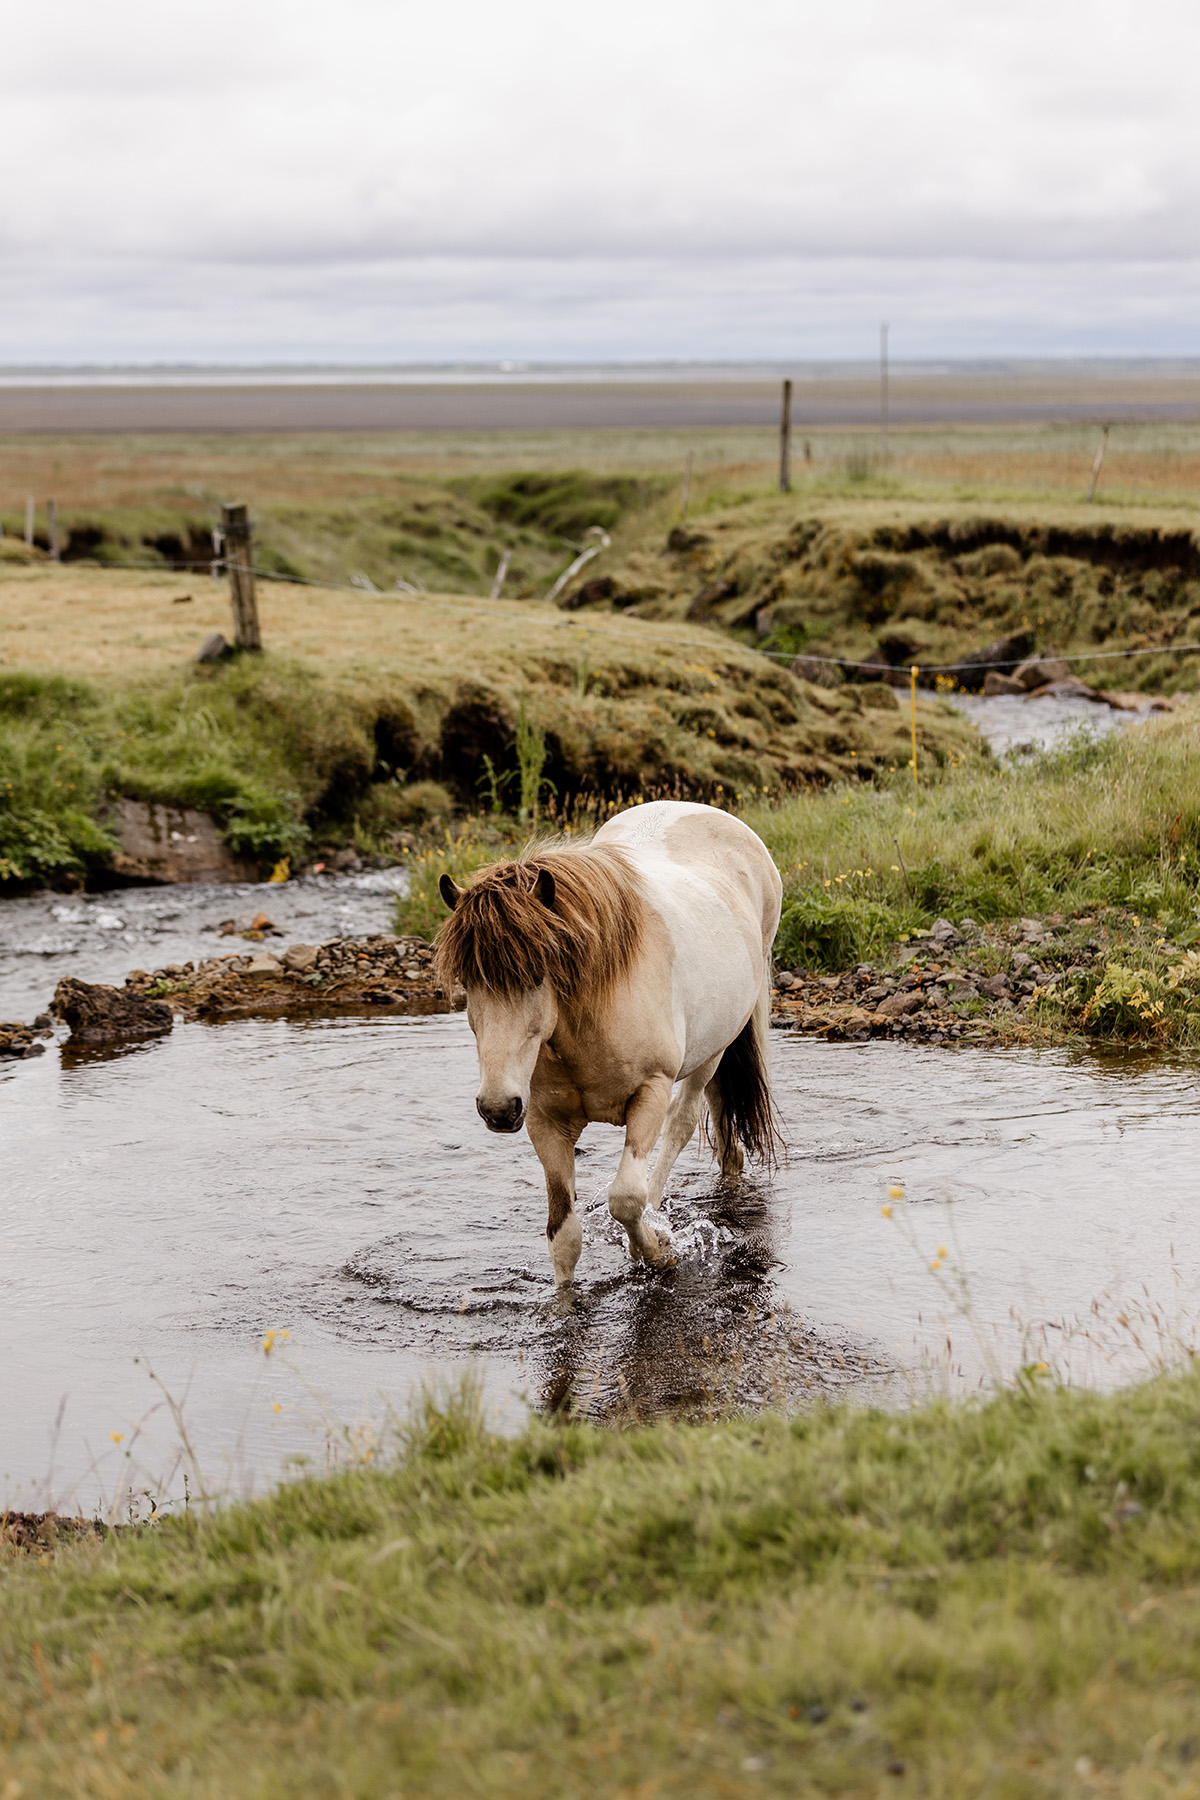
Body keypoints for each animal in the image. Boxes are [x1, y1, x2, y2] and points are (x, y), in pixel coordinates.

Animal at [435, 799, 782, 1285]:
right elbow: (563, 1237)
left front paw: (656, 1252)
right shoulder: (545, 1121)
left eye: (537, 973)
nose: (498, 1109)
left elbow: (626, 1198)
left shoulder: (651, 1090)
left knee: (682, 1123)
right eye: (467, 981)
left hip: (711, 1053)